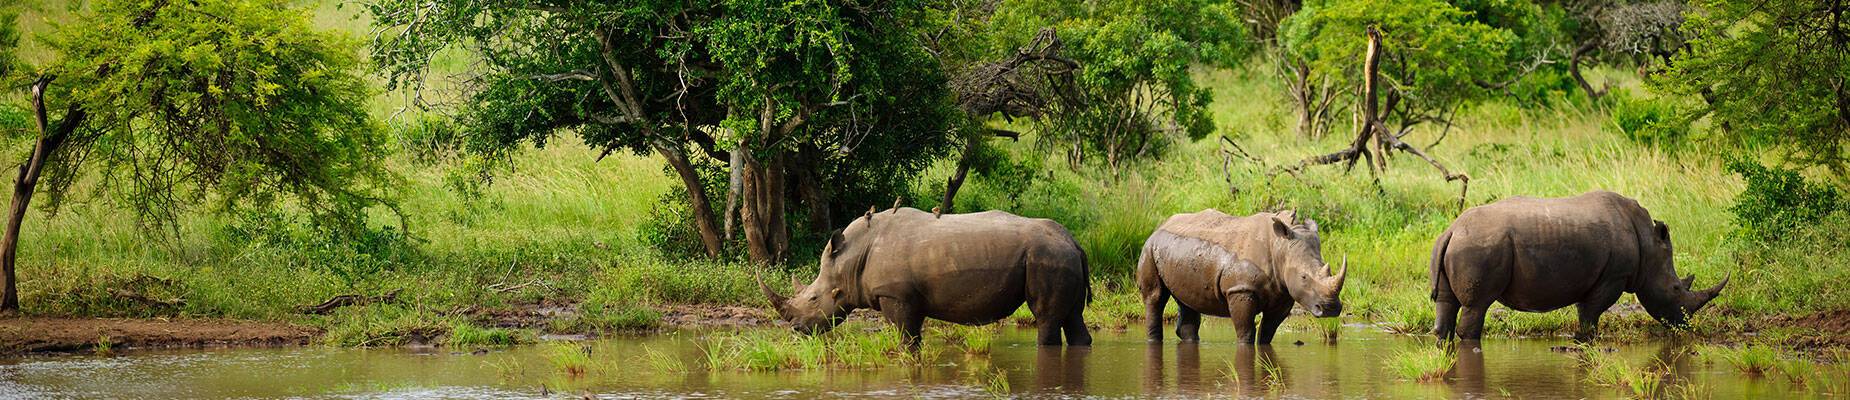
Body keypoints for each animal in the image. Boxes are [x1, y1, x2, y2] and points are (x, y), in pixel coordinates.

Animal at [759, 207, 1092, 350]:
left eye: (814, 298)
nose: (796, 330)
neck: (850, 259)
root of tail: (1075, 242)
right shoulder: (910, 298)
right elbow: (914, 336)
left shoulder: (895, 295)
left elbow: (906, 338)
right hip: (1061, 257)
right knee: (1073, 316)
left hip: (1048, 258)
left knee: (1047, 318)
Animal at [1137, 210, 1346, 345]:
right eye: (1303, 277)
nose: (1330, 309)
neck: (1280, 247)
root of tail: (1161, 224)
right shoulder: (1241, 289)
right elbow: (1246, 332)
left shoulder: (1284, 294)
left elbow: (1267, 333)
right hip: (1149, 247)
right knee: (1155, 297)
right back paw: (1153, 340)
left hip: (1180, 252)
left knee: (1187, 300)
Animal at [1430, 191, 1729, 342]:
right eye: (1676, 288)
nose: (1684, 325)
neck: (1648, 244)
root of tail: (1452, 230)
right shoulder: (1614, 276)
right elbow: (1590, 315)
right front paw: (1585, 341)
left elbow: (1586, 312)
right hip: (1479, 247)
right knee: (1477, 306)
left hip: (1458, 244)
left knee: (1447, 304)